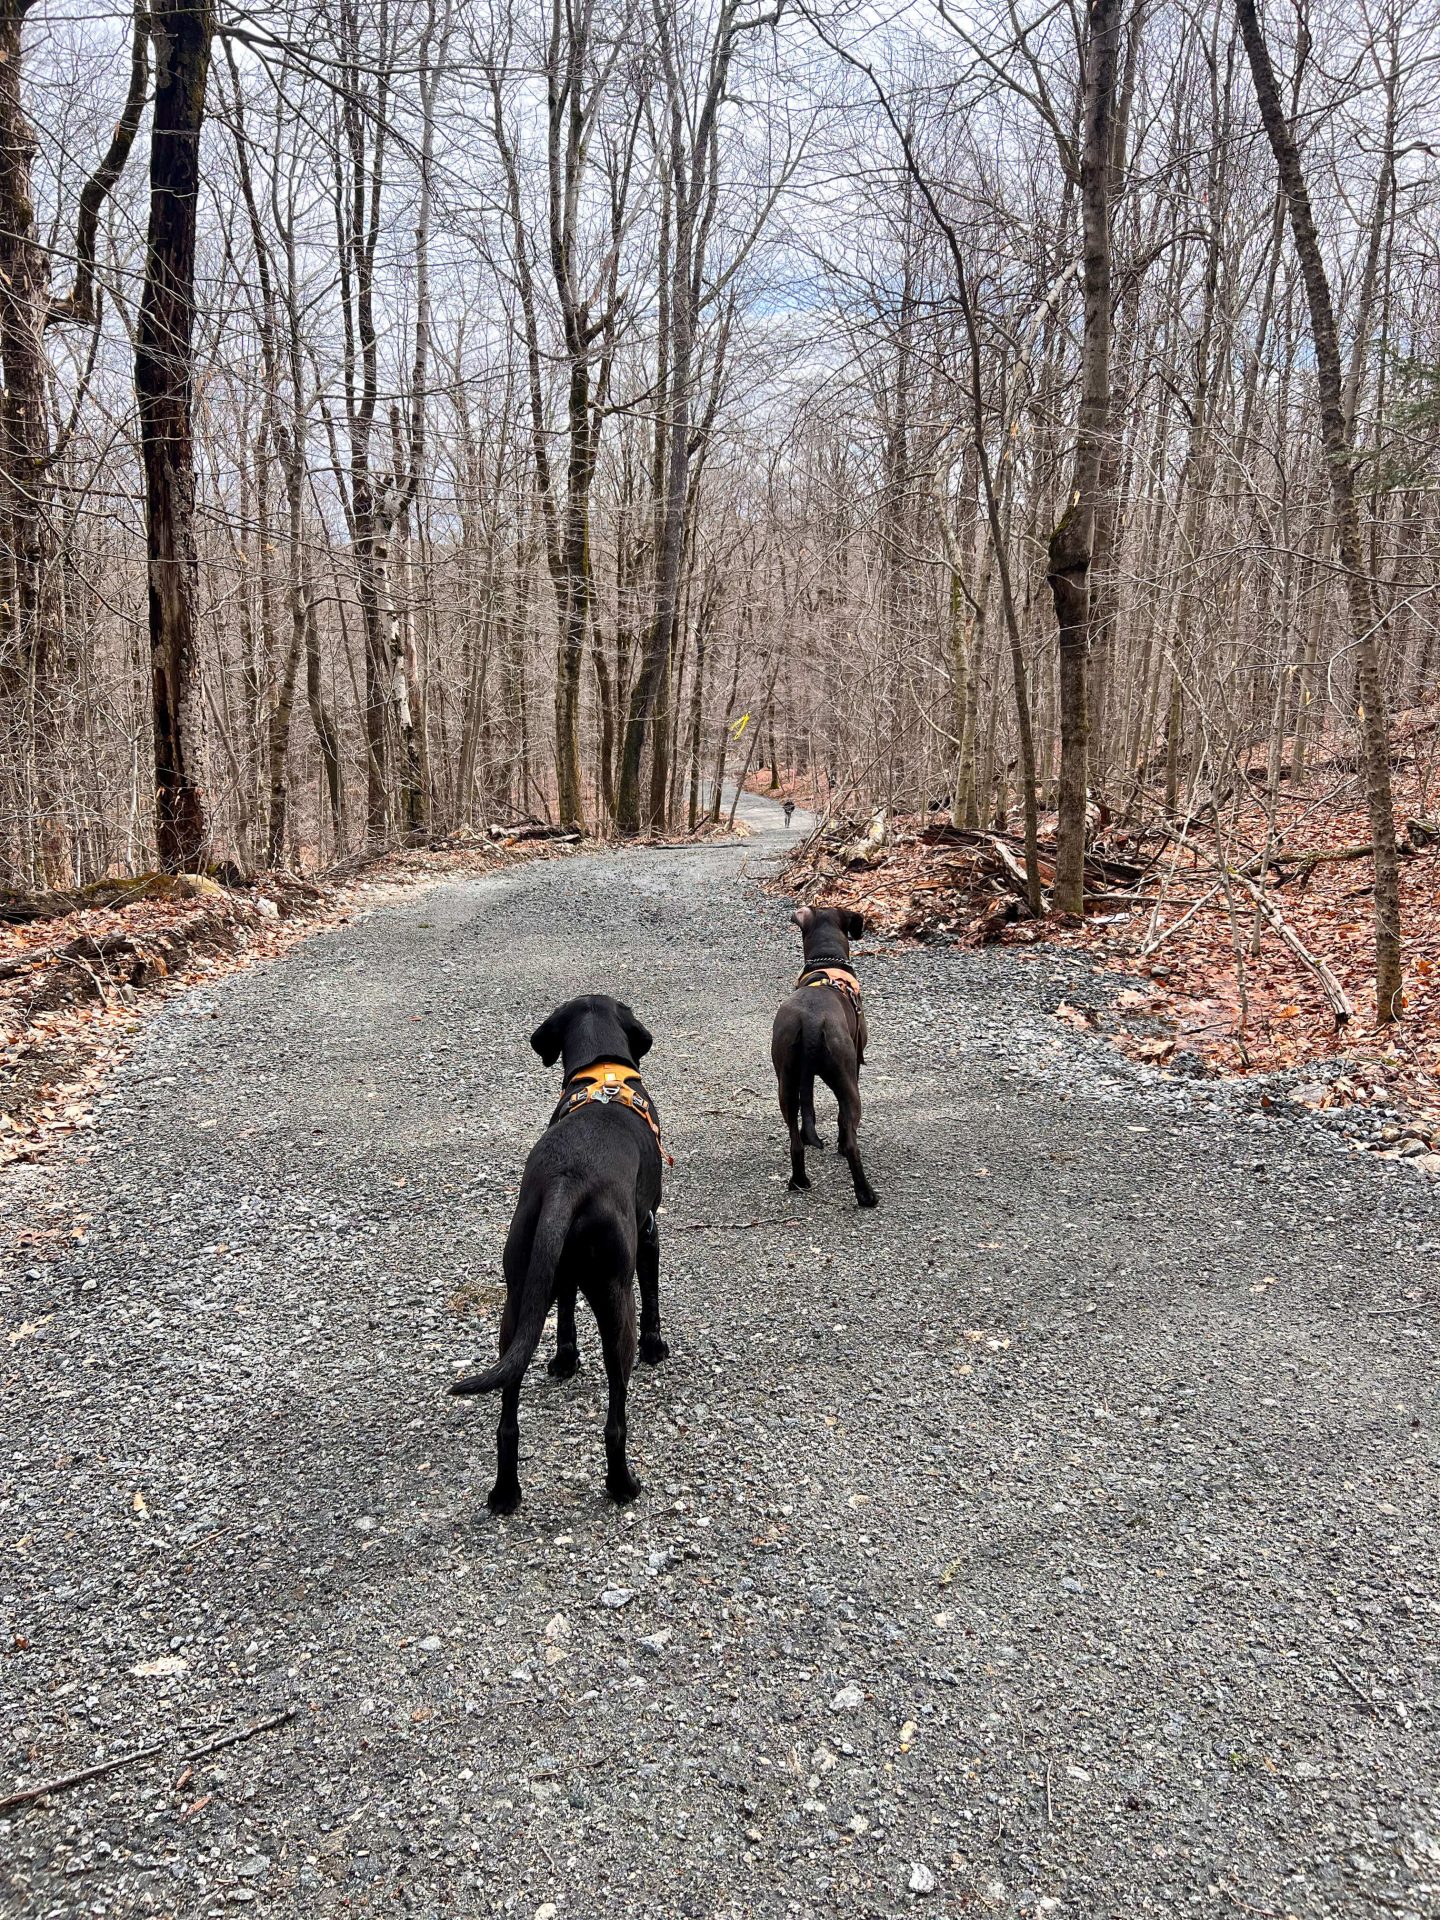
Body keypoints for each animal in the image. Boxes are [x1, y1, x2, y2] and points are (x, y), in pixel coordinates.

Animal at [451, 990, 672, 1512]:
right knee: (615, 1419)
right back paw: (622, 1484)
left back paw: (505, 1492)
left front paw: (566, 1359)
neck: (603, 1073)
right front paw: (657, 1346)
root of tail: (565, 1182)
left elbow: (566, 1309)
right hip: (615, 1301)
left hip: (516, 1301)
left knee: (508, 1419)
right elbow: (653, 1297)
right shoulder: (649, 1230)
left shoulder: (557, 1275)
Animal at [771, 906, 875, 1205]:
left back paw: (799, 1181)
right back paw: (866, 1195)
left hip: (786, 1083)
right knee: (851, 1142)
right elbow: (841, 1121)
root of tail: (811, 1020)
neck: (825, 963)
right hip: (847, 1083)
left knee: (794, 1140)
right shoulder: (854, 1069)